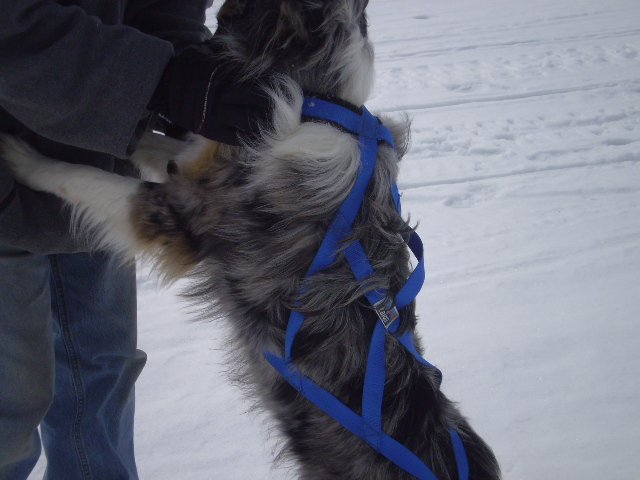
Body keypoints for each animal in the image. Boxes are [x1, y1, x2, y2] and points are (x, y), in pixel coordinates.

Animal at [1, 1, 500, 478]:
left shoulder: (178, 216)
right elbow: (157, 147)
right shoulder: (203, 160)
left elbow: (77, 176)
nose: (181, 55)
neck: (322, 104)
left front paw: (22, 156)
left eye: (225, 18)